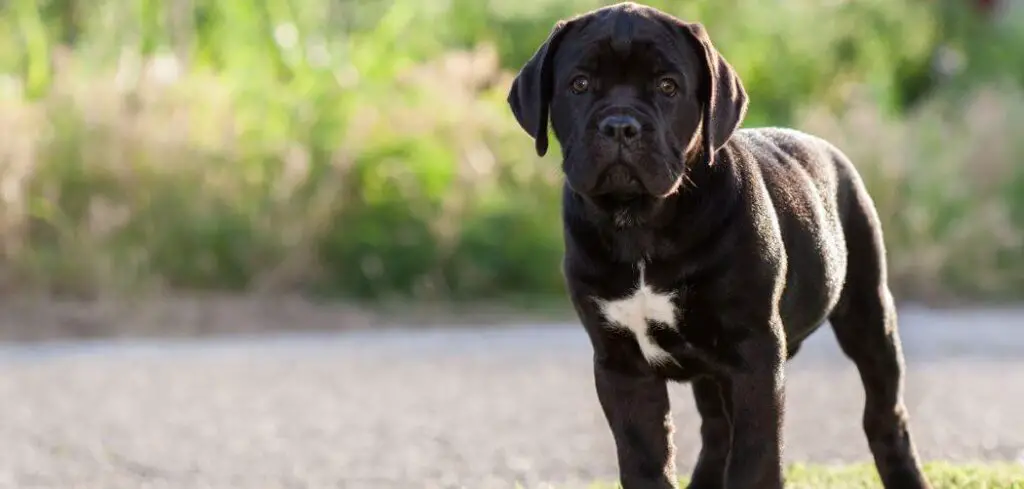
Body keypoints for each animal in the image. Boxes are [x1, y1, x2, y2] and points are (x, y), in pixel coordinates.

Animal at [507, 0, 933, 488]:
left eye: (668, 86)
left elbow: (755, 456)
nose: (620, 125)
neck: (640, 221)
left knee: (884, 413)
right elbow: (643, 458)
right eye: (579, 84)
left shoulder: (753, 353)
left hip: (869, 314)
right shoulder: (621, 363)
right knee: (716, 431)